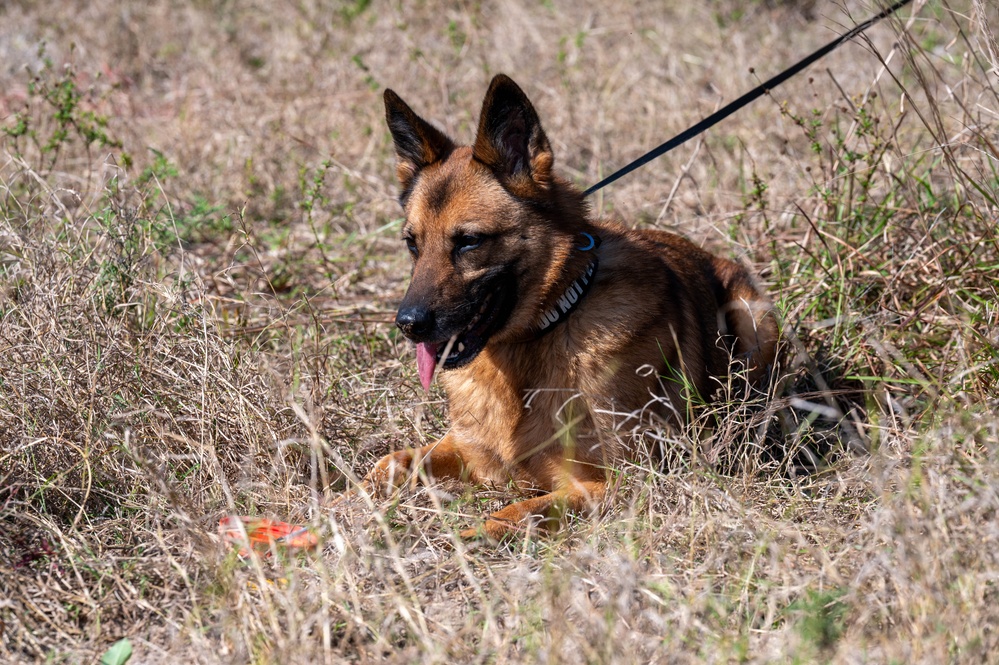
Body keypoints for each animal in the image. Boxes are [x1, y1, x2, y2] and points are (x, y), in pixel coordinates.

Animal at [362, 74, 780, 540]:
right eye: (412, 244)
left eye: (469, 241)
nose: (407, 324)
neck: (542, 332)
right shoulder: (465, 448)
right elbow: (389, 464)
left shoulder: (618, 483)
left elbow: (512, 514)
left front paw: (462, 540)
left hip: (753, 318)